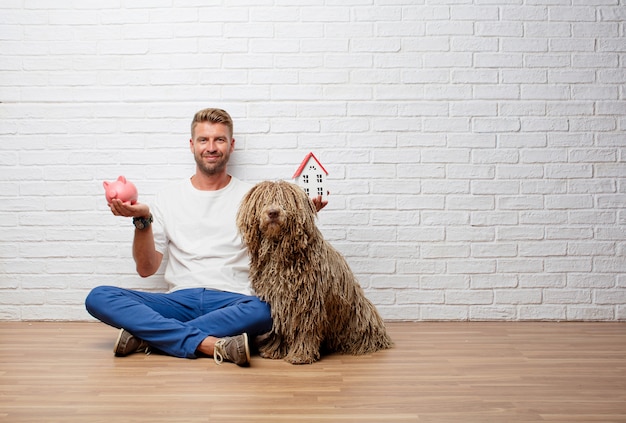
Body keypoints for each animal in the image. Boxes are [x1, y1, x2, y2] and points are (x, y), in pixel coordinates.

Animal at [235, 180, 390, 364]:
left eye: (285, 201)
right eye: (264, 201)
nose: (273, 212)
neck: (280, 251)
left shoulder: (308, 300)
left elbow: (306, 328)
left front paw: (300, 355)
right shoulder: (278, 300)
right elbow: (280, 326)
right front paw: (274, 349)